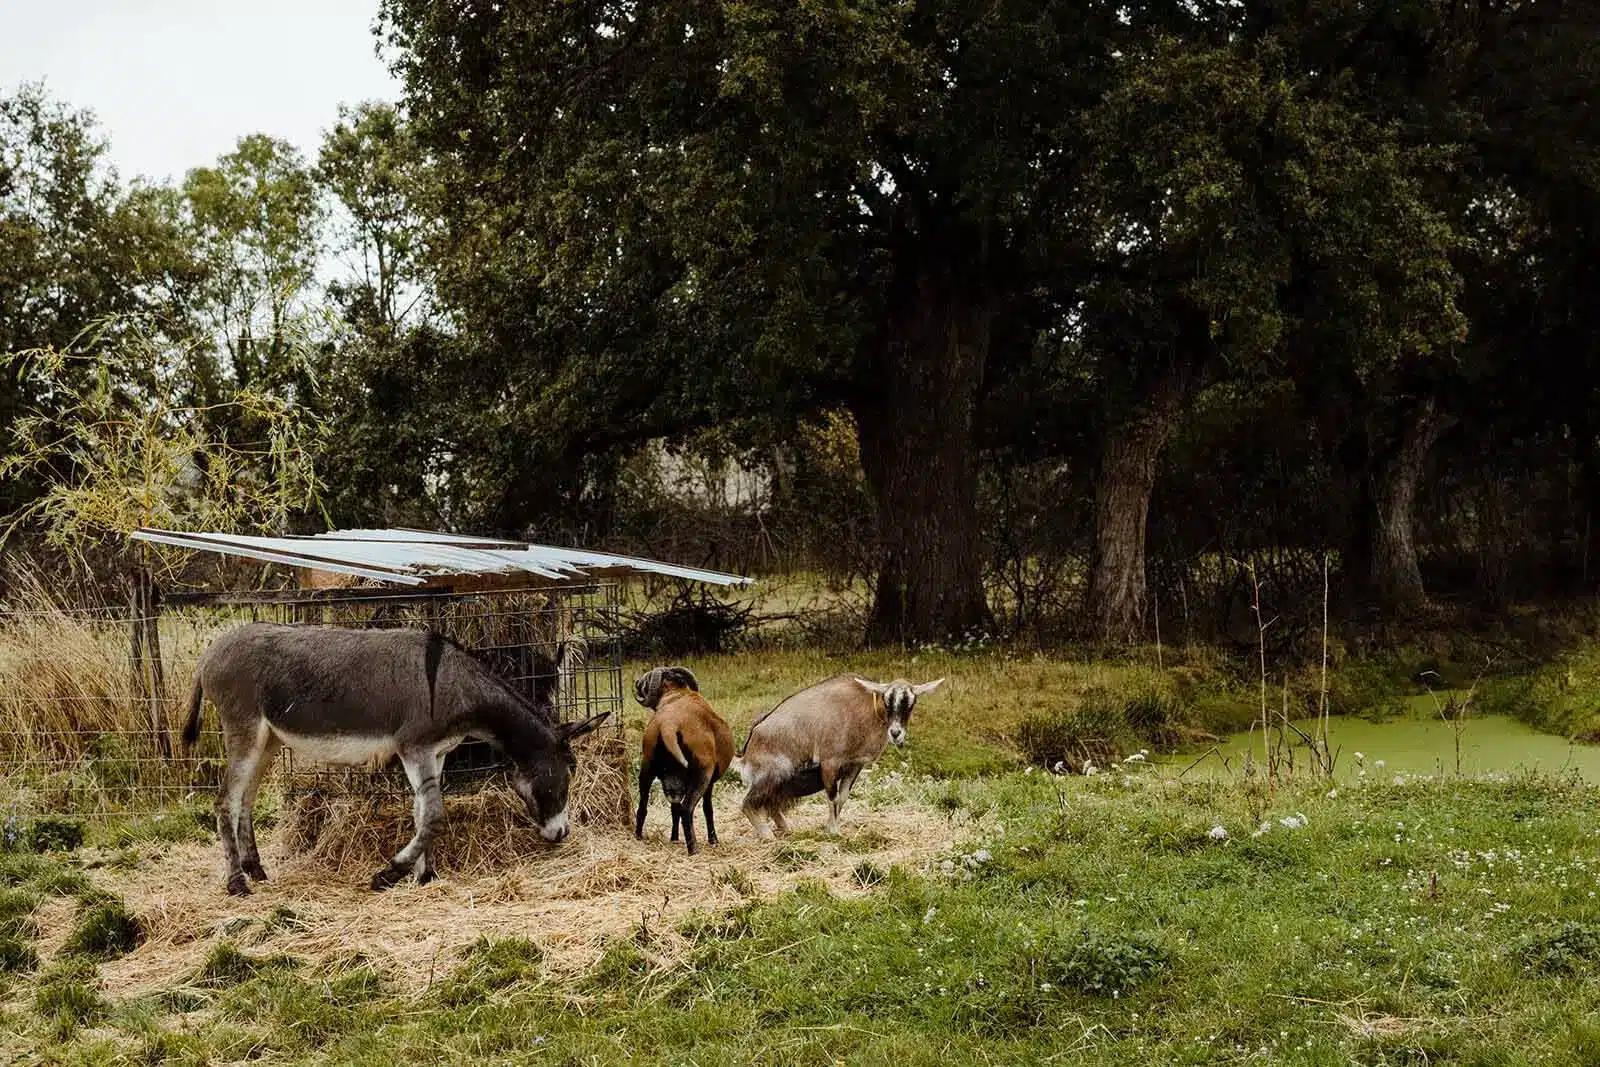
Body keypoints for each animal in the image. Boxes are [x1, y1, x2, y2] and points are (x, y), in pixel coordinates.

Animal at [636, 662, 736, 857]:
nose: (637, 683)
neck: (676, 694)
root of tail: (668, 724)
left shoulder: (675, 784)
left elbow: (674, 808)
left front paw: (674, 838)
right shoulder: (709, 781)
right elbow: (708, 809)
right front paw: (713, 840)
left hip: (647, 767)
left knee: (644, 805)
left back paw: (638, 836)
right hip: (702, 773)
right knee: (686, 809)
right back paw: (693, 848)